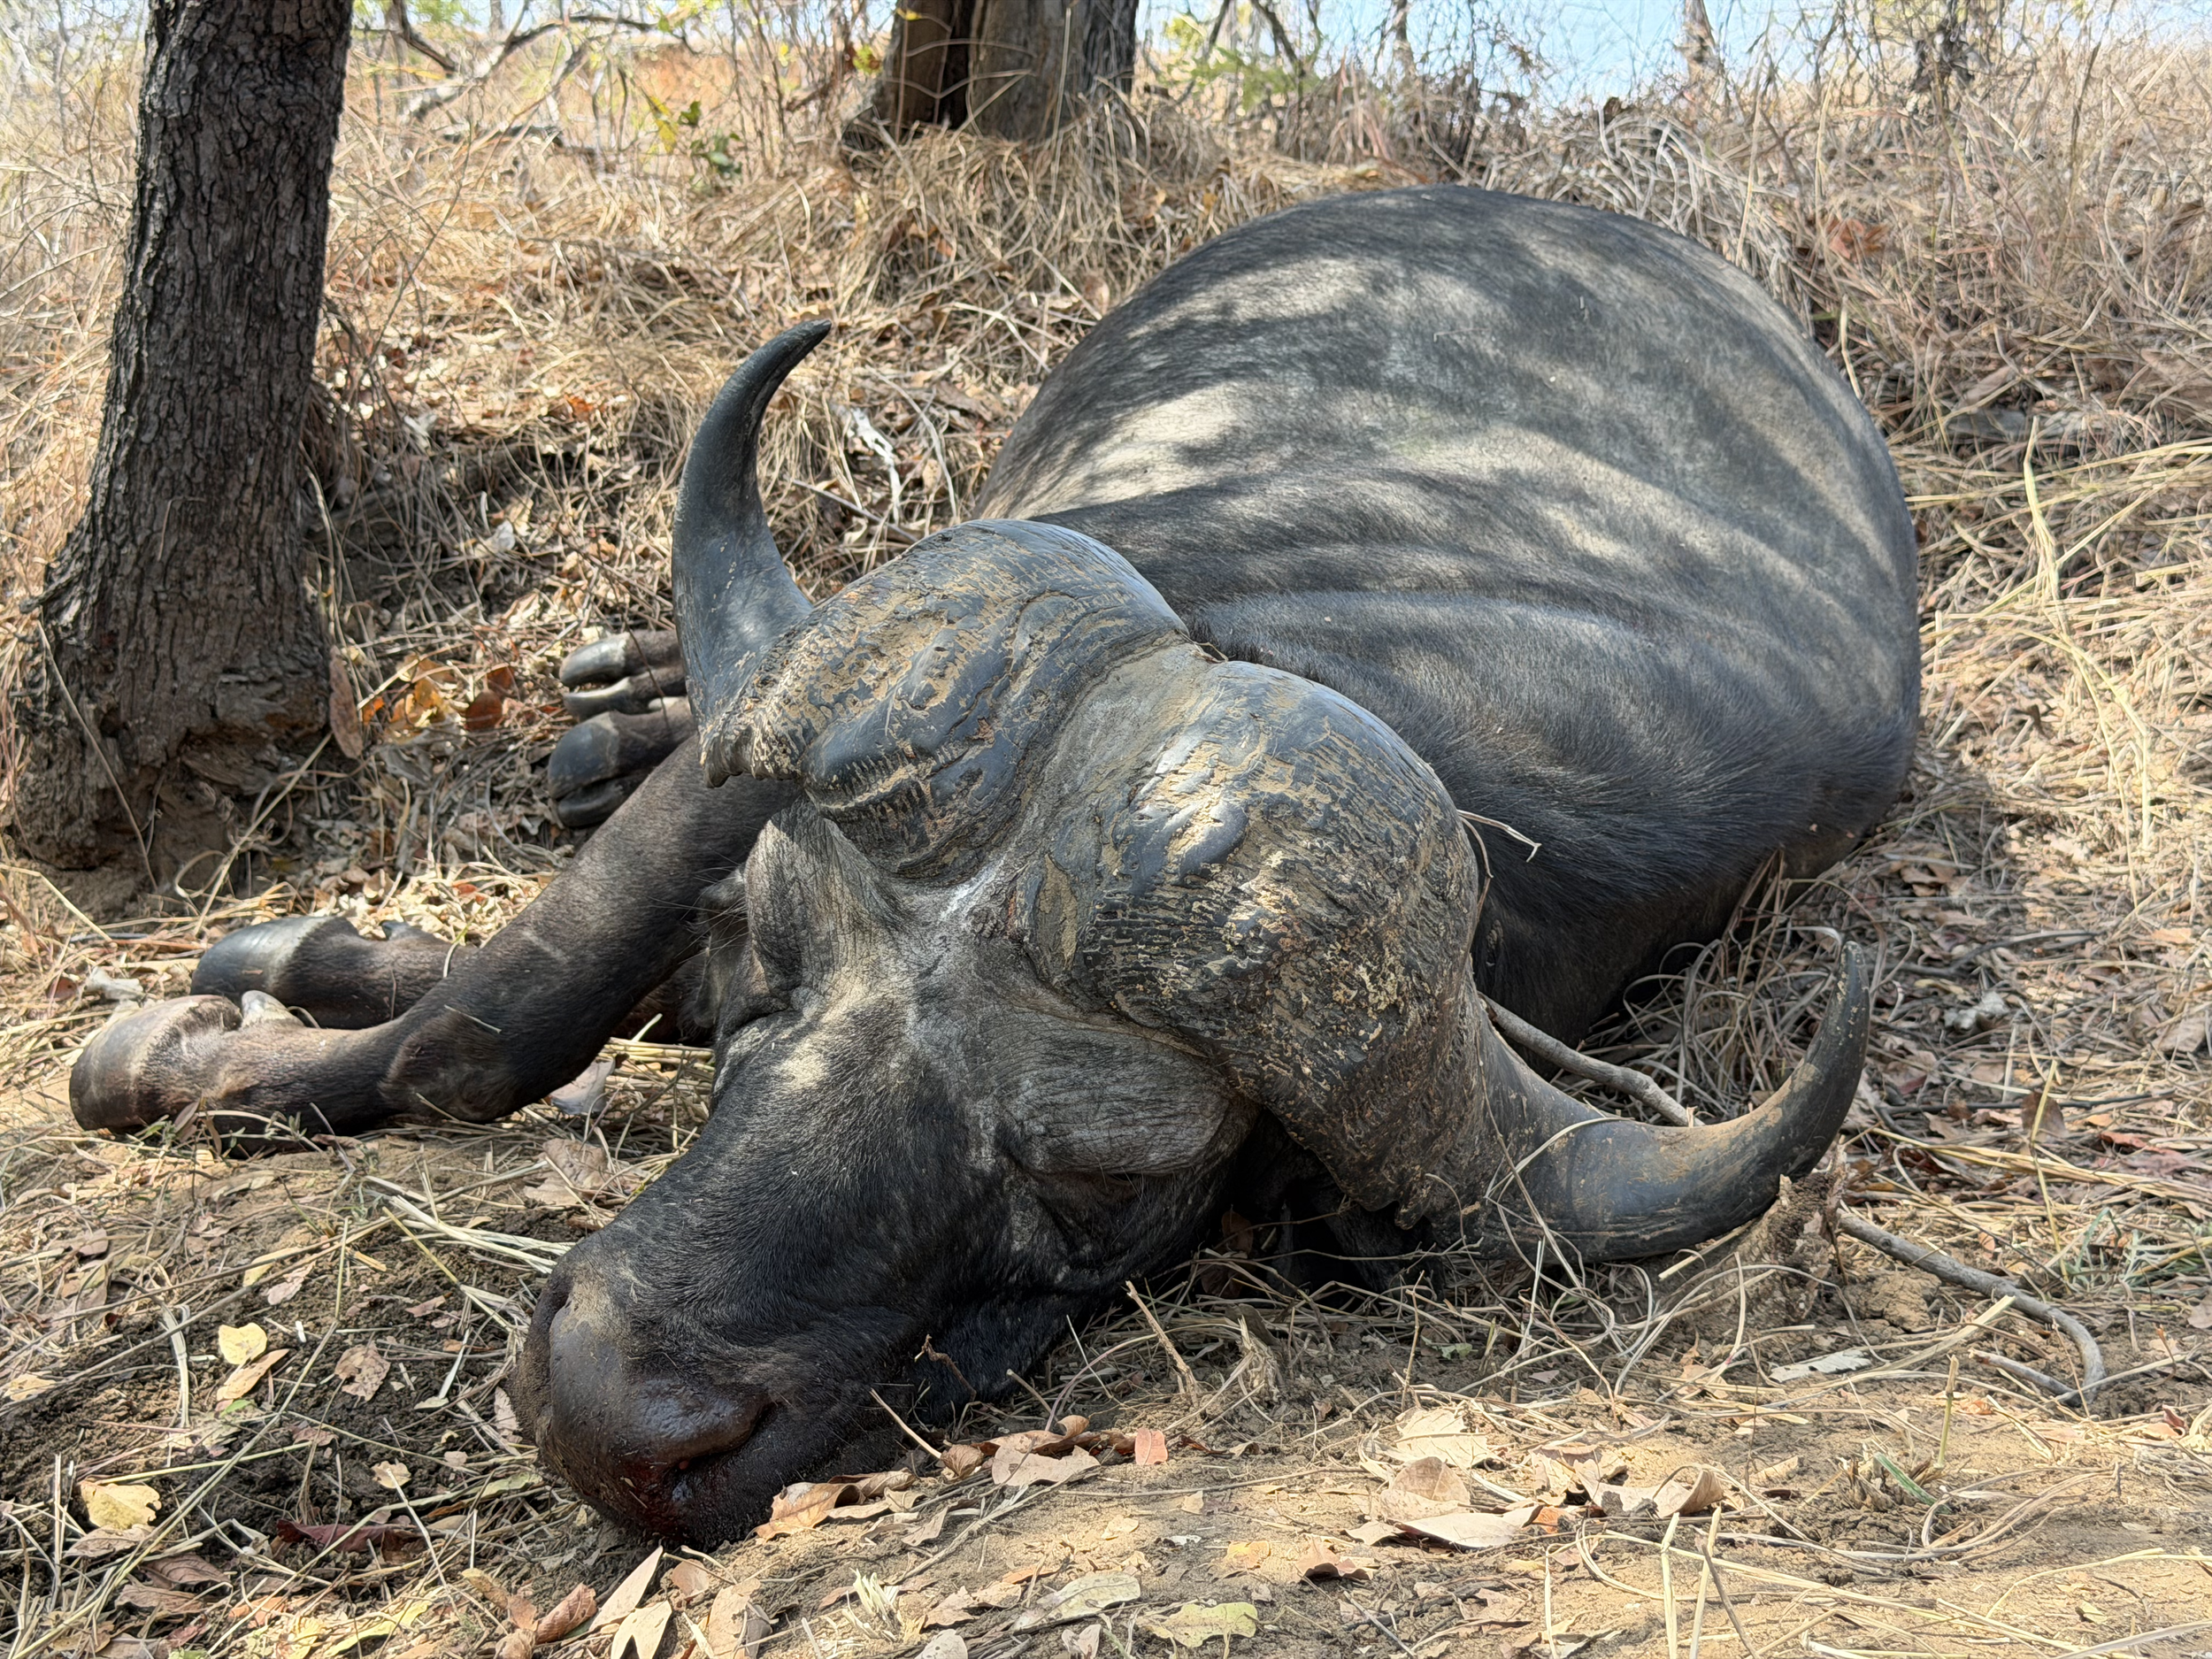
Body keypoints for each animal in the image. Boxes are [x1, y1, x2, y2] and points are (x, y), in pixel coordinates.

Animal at [69, 186, 1919, 1545]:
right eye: (781, 976)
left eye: (1093, 1178)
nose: (613, 1413)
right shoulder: (744, 780)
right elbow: (486, 1033)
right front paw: (193, 1038)